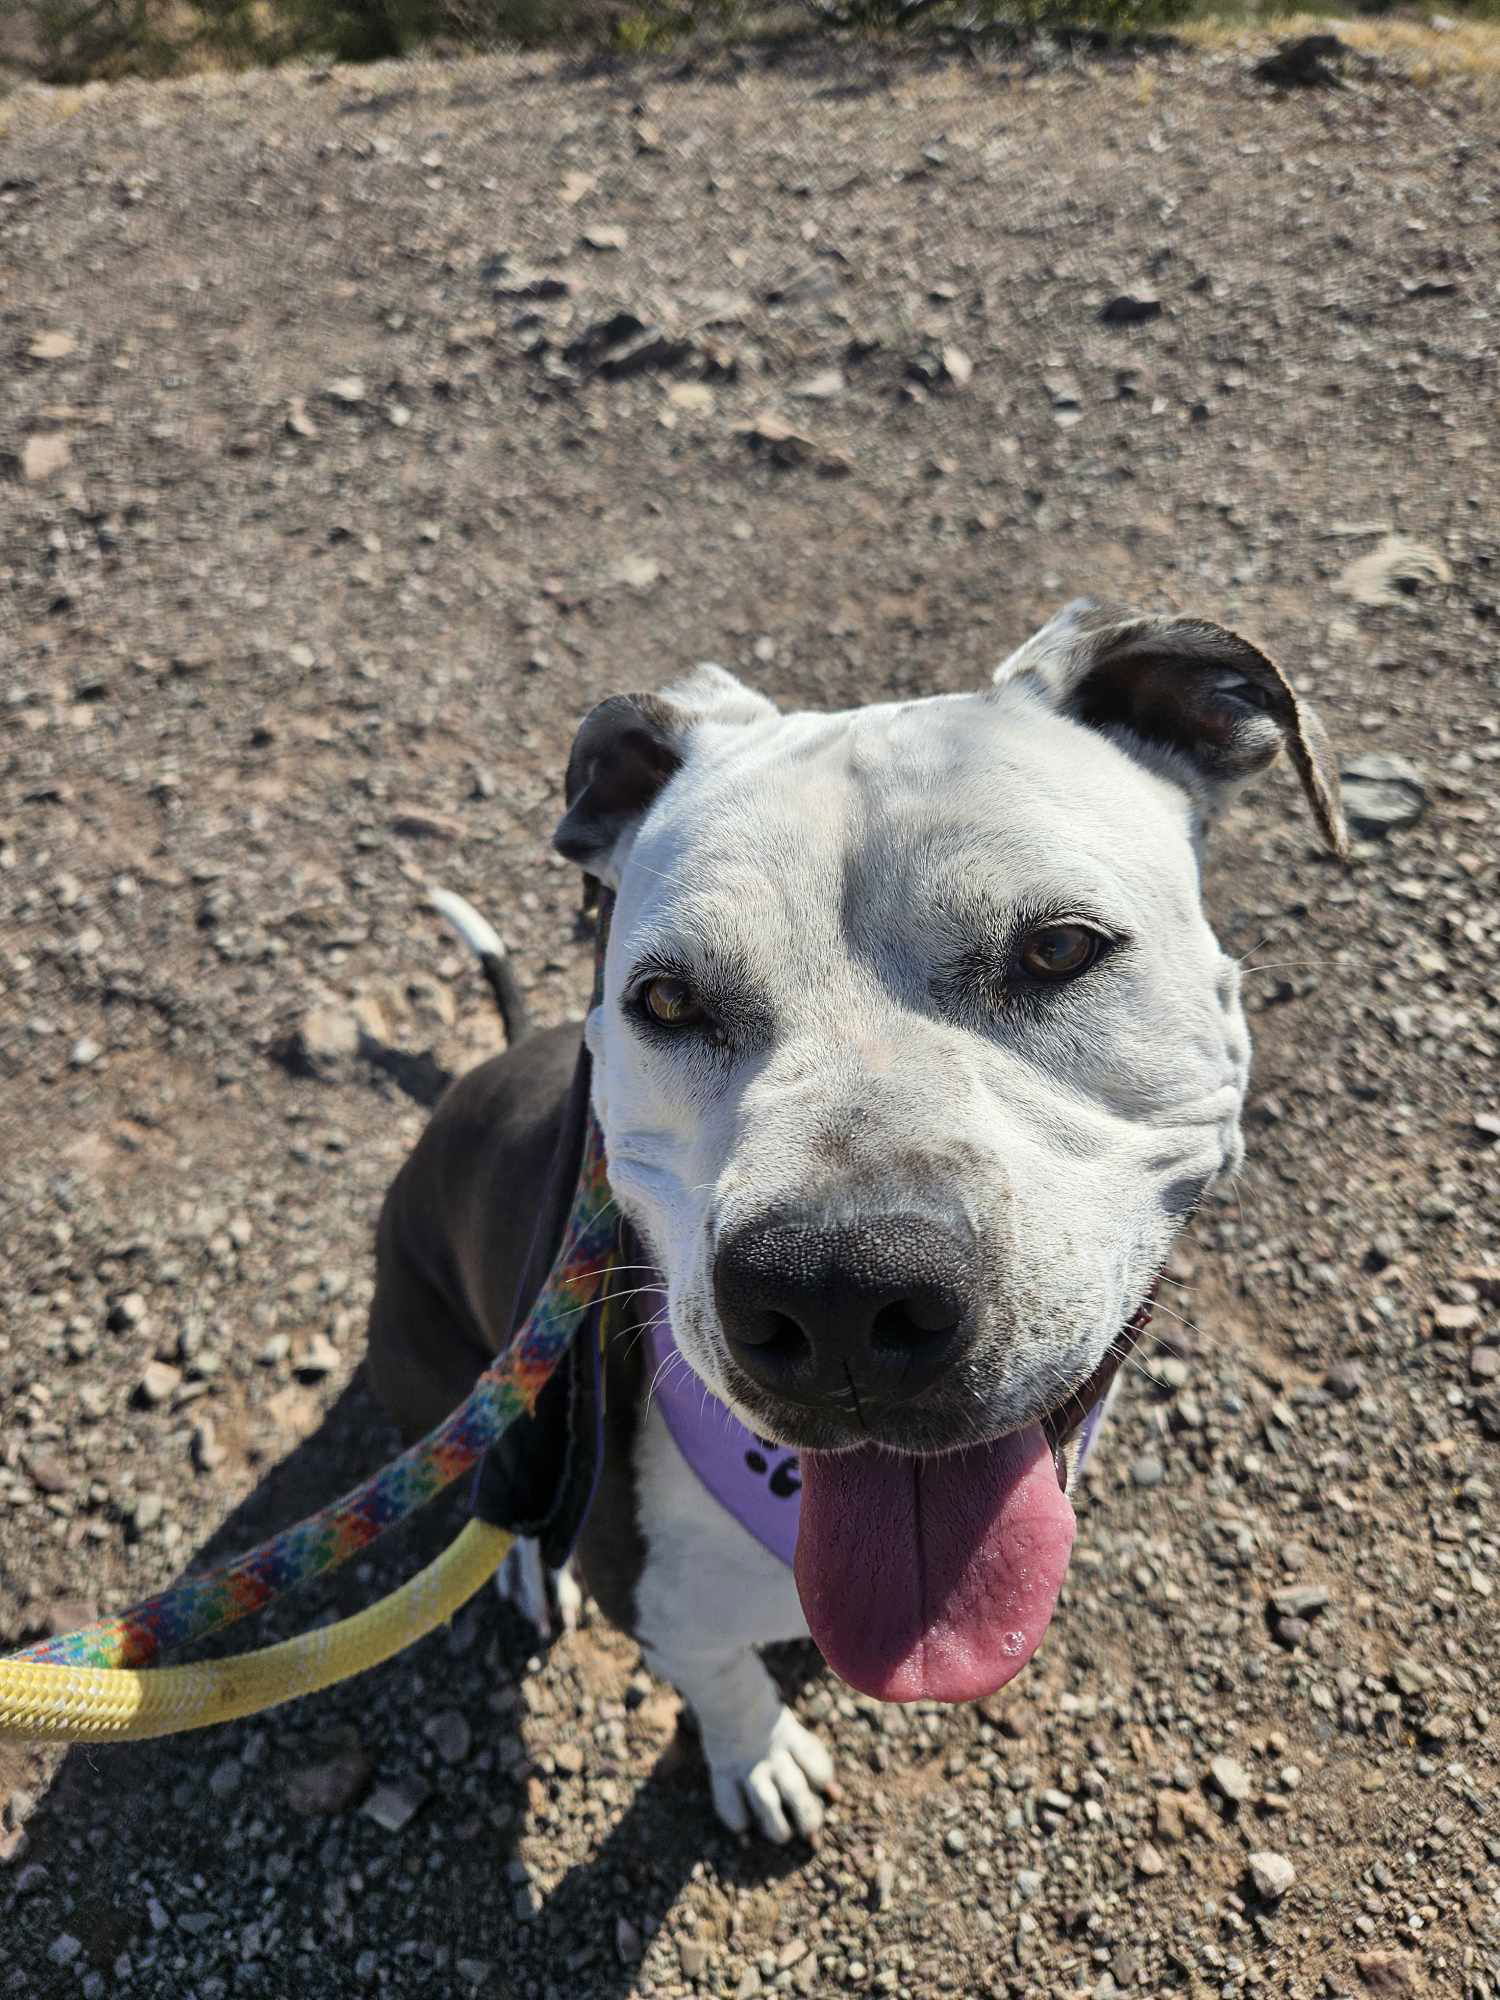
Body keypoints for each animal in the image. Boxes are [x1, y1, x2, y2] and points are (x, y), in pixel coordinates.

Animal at [368, 604, 1352, 1840]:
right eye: (666, 1000)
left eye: (1060, 948)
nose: (839, 1292)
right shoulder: (658, 1597)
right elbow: (718, 1673)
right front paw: (758, 1754)